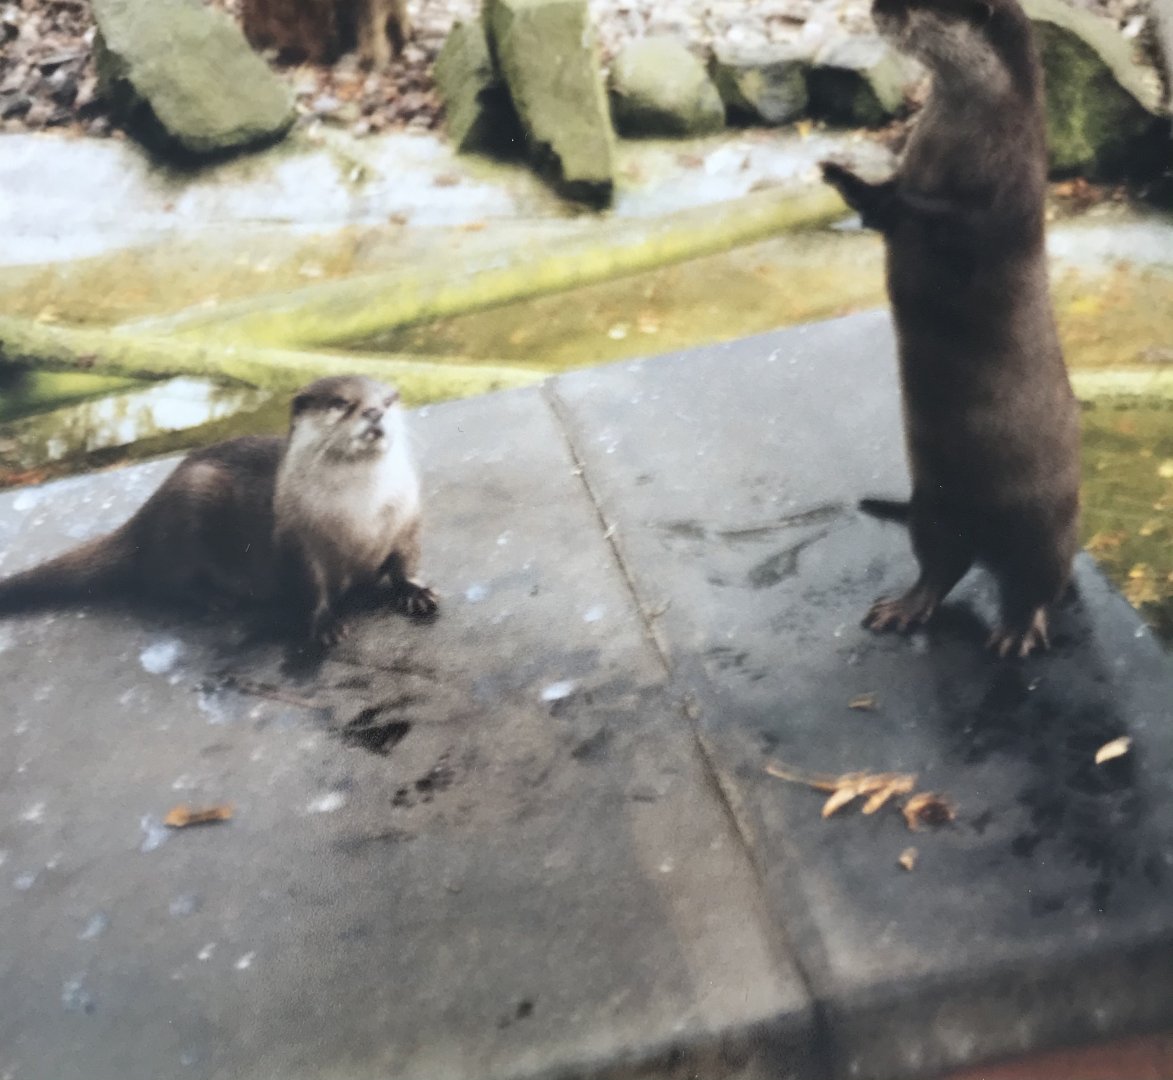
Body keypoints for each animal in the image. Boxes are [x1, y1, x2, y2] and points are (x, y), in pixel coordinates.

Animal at [0, 376, 437, 646]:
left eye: (387, 401)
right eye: (342, 403)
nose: (375, 412)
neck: (362, 513)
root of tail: (145, 516)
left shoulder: (407, 519)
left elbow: (406, 562)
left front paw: (417, 592)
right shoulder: (297, 541)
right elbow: (311, 587)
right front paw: (324, 623)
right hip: (191, 503)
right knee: (160, 582)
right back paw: (213, 599)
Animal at [819, 0, 1080, 658]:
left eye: (914, 7)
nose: (875, 9)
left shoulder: (1005, 202)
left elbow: (945, 219)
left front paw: (872, 190)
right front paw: (848, 180)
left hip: (1044, 526)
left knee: (1038, 580)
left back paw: (1019, 628)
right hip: (933, 507)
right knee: (941, 565)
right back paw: (906, 607)